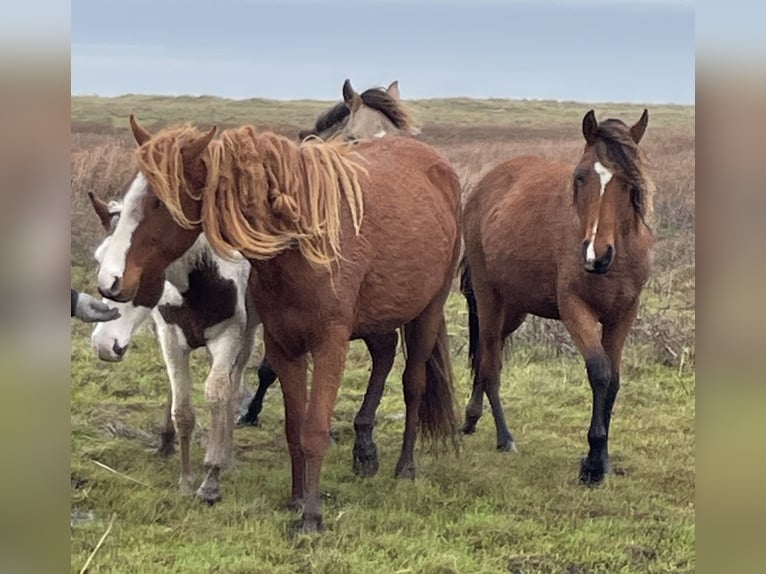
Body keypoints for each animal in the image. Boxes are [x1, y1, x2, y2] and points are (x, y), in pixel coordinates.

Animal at [88, 193, 259, 502]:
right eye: (99, 259)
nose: (104, 344)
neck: (203, 277)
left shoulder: (229, 337)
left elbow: (218, 396)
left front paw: (211, 478)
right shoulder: (170, 337)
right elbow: (182, 410)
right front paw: (186, 480)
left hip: (248, 335)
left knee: (234, 386)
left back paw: (226, 456)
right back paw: (167, 443)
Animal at [460, 109, 654, 484]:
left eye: (629, 181)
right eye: (579, 177)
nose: (596, 255)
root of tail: (485, 185)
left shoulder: (623, 313)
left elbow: (614, 381)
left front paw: (602, 460)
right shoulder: (575, 309)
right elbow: (599, 372)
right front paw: (592, 462)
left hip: (513, 309)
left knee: (490, 357)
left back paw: (472, 417)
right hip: (489, 297)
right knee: (489, 361)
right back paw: (504, 437)